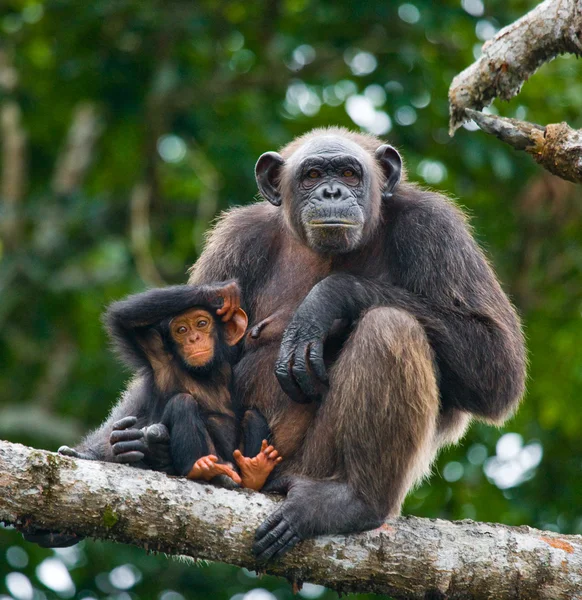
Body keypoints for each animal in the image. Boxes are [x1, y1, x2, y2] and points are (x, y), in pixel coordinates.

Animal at [188, 127, 528, 564]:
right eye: (313, 174)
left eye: (349, 173)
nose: (332, 191)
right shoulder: (236, 241)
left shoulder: (436, 228)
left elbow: (497, 363)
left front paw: (327, 300)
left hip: (310, 468)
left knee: (390, 327)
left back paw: (353, 502)